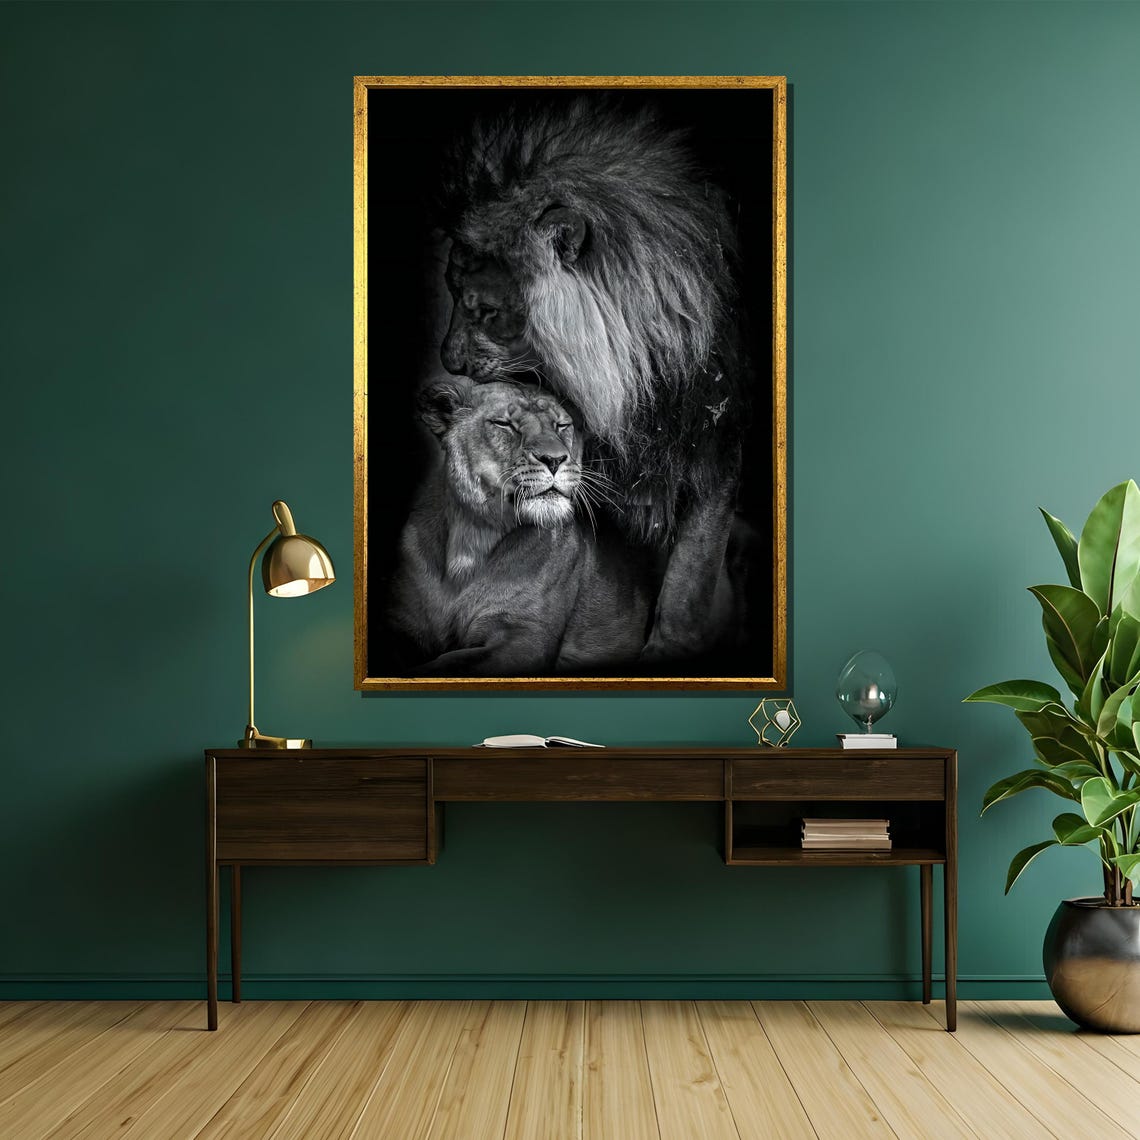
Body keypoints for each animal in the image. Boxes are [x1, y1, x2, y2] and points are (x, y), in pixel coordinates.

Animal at [387, 378, 665, 677]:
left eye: (561, 425)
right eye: (503, 424)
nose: (554, 459)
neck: (471, 539)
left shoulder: (525, 637)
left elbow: (449, 662)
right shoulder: (401, 623)